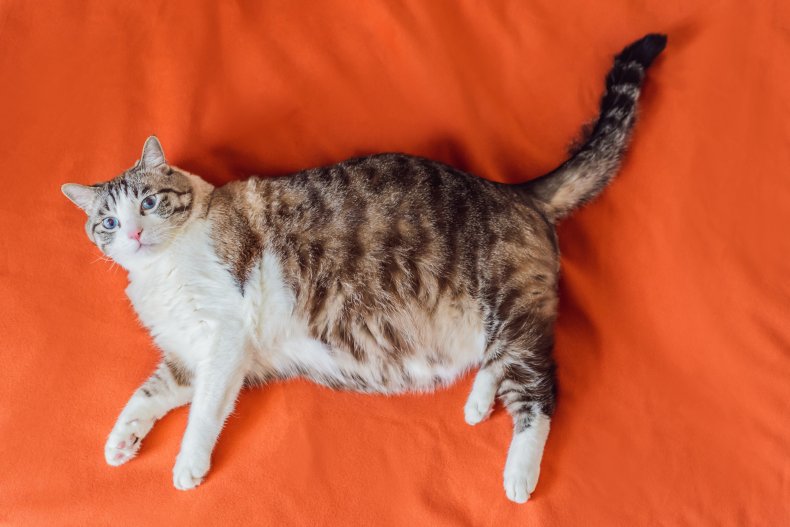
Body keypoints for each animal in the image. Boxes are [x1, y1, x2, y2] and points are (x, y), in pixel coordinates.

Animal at [62, 33, 668, 504]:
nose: (133, 234)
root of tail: (515, 190)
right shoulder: (193, 355)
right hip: (503, 322)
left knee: (539, 391)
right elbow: (150, 394)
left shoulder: (224, 337)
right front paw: (122, 440)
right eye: (107, 223)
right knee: (496, 361)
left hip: (514, 306)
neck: (161, 271)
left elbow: (204, 411)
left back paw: (519, 473)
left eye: (149, 202)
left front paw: (188, 464)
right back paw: (477, 403)